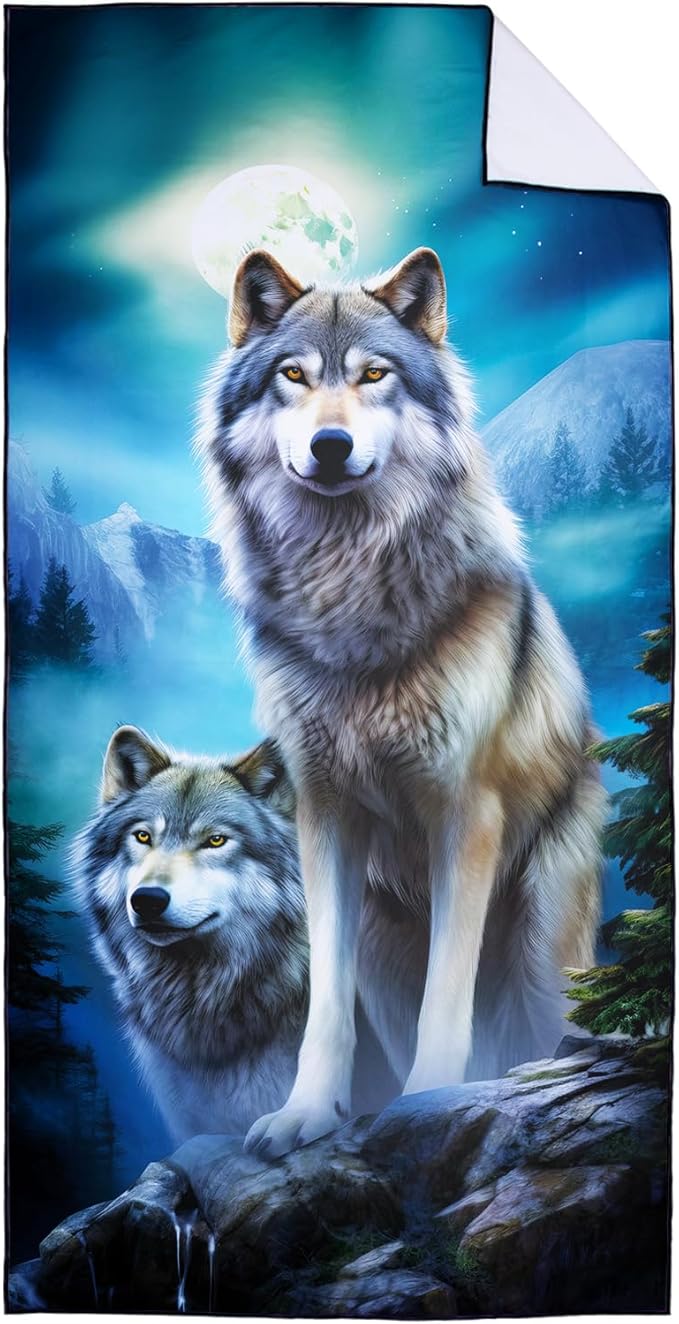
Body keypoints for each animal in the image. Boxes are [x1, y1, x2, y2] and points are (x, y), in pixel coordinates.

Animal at [198, 245, 606, 1159]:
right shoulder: (323, 814)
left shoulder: (466, 813)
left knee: (543, 1031)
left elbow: (445, 999)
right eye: (292, 375)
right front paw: (308, 1113)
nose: (331, 444)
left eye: (374, 374)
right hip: (384, 947)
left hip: (542, 939)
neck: (348, 588)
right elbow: (324, 1006)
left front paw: (427, 1102)